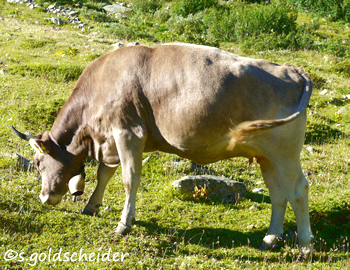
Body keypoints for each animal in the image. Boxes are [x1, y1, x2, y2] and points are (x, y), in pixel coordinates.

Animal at [13, 43, 314, 260]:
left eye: (38, 163)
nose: (44, 197)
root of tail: (292, 70)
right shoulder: (110, 140)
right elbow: (104, 174)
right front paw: (92, 206)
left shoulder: (128, 133)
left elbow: (129, 179)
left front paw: (124, 223)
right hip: (266, 156)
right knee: (278, 194)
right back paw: (269, 239)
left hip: (285, 151)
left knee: (298, 190)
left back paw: (305, 246)